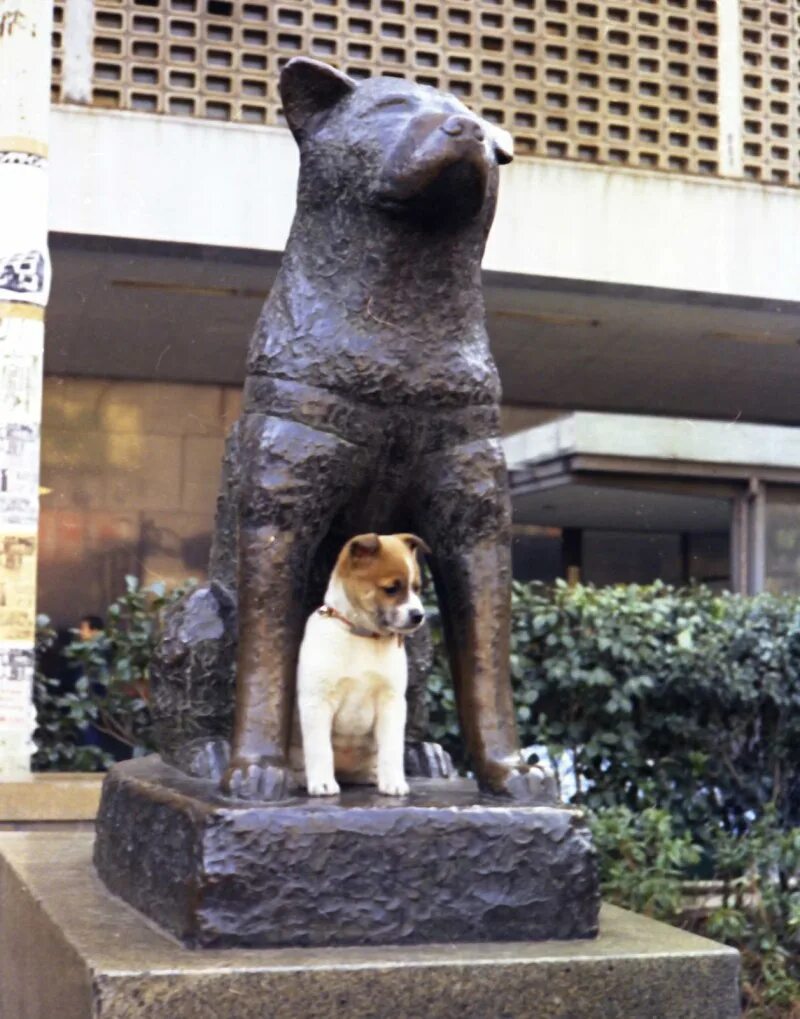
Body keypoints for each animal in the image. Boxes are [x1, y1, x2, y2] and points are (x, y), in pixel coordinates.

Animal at [295, 533, 428, 794]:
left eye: (417, 587)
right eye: (391, 588)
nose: (419, 616)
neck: (362, 636)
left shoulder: (391, 702)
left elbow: (392, 749)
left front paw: (393, 782)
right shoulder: (317, 701)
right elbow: (320, 749)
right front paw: (322, 783)